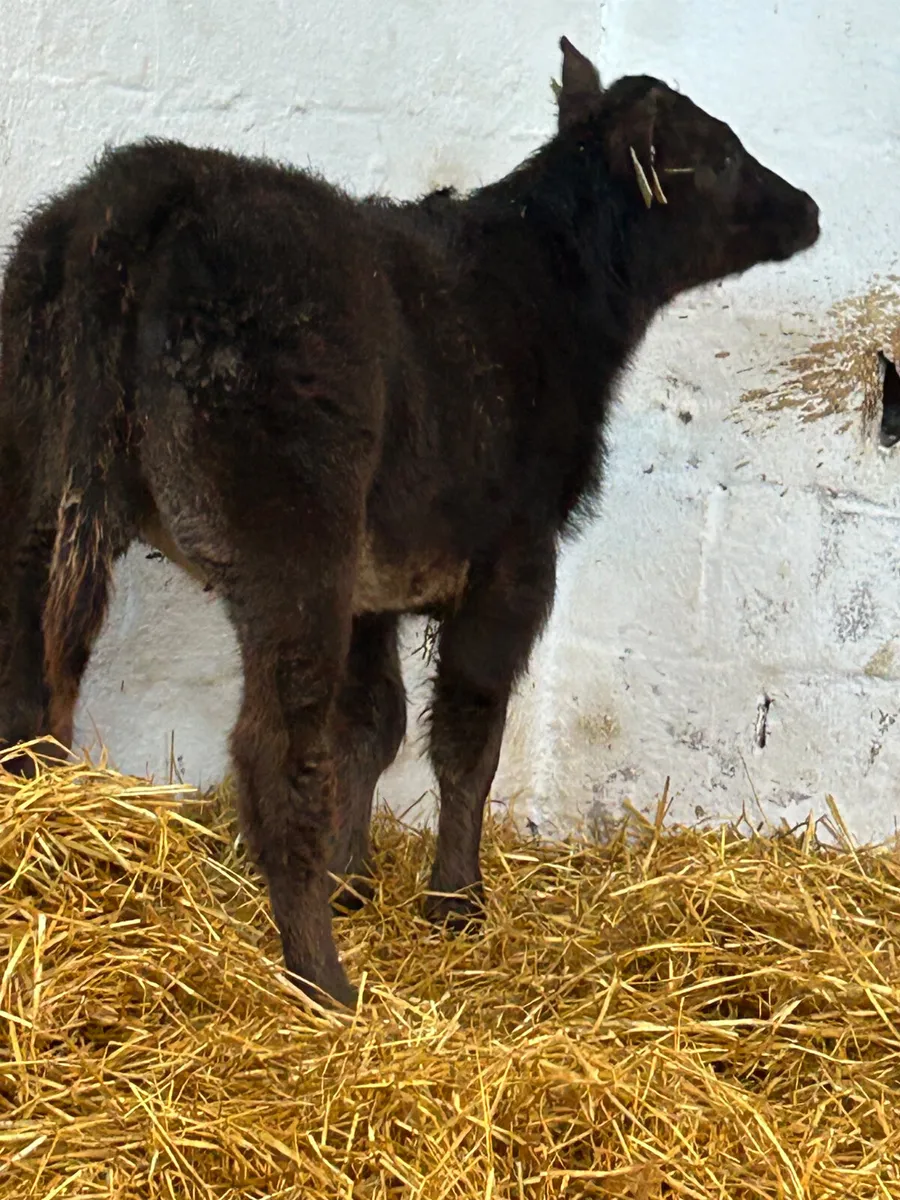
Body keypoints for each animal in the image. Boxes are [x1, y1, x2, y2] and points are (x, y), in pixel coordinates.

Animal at [0, 37, 820, 1006]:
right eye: (722, 154)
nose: (809, 208)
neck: (546, 290)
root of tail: (147, 183)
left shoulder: (376, 581)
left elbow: (374, 725)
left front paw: (351, 877)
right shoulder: (513, 558)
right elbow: (469, 732)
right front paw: (456, 901)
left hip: (35, 502)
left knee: (32, 688)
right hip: (293, 549)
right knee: (275, 751)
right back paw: (322, 978)